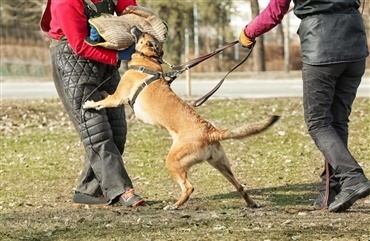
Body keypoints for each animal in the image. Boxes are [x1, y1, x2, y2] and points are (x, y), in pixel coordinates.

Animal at [84, 26, 278, 210]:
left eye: (143, 34)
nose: (133, 26)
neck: (148, 59)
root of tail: (211, 131)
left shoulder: (118, 97)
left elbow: (105, 100)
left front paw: (89, 103)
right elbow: (106, 96)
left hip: (174, 162)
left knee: (188, 187)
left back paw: (175, 205)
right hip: (221, 164)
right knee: (239, 186)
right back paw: (252, 203)